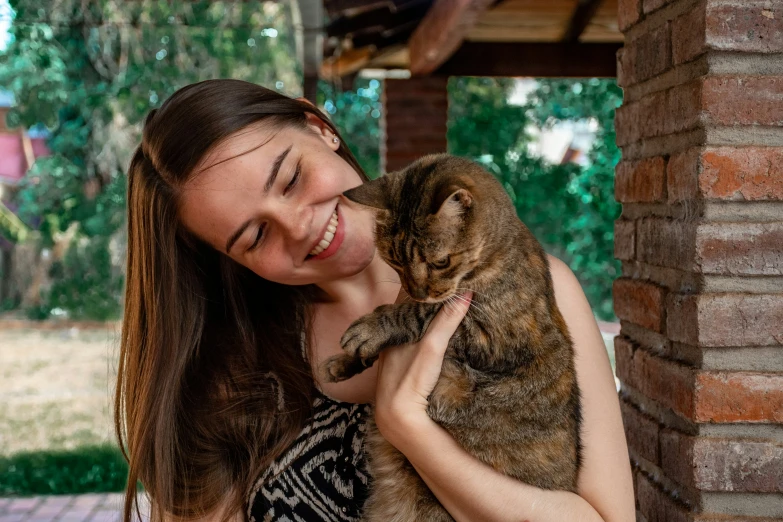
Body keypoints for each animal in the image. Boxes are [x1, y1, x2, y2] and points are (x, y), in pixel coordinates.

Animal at [320, 152, 580, 516]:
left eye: (441, 262)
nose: (417, 291)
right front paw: (343, 362)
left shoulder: (492, 334)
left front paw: (370, 328)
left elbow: (417, 314)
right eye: (394, 261)